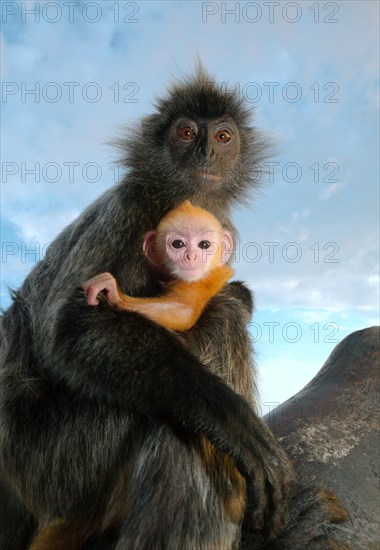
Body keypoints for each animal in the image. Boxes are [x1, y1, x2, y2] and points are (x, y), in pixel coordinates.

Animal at [83, 203, 235, 332]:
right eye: (178, 244)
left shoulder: (206, 281)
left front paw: (116, 295)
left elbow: (185, 311)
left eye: (204, 244)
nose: (191, 256)